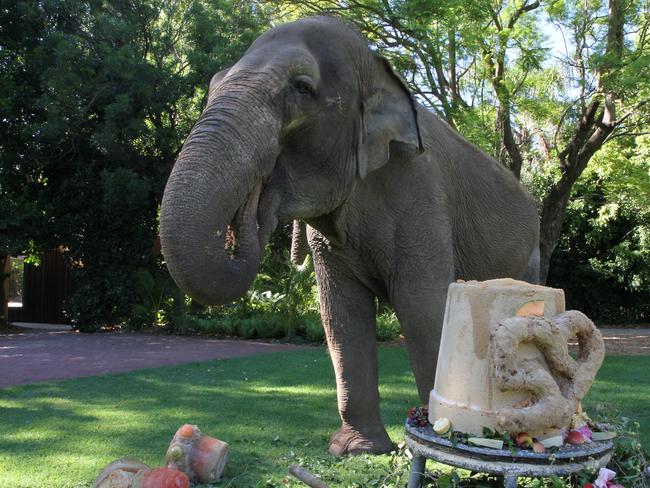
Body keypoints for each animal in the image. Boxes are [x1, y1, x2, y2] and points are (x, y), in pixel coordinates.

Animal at [159, 16, 540, 458]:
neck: (378, 71)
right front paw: (358, 449)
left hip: (531, 257)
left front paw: (440, 443)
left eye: (301, 87)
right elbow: (341, 313)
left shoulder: (421, 194)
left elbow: (423, 304)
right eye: (214, 84)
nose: (257, 197)